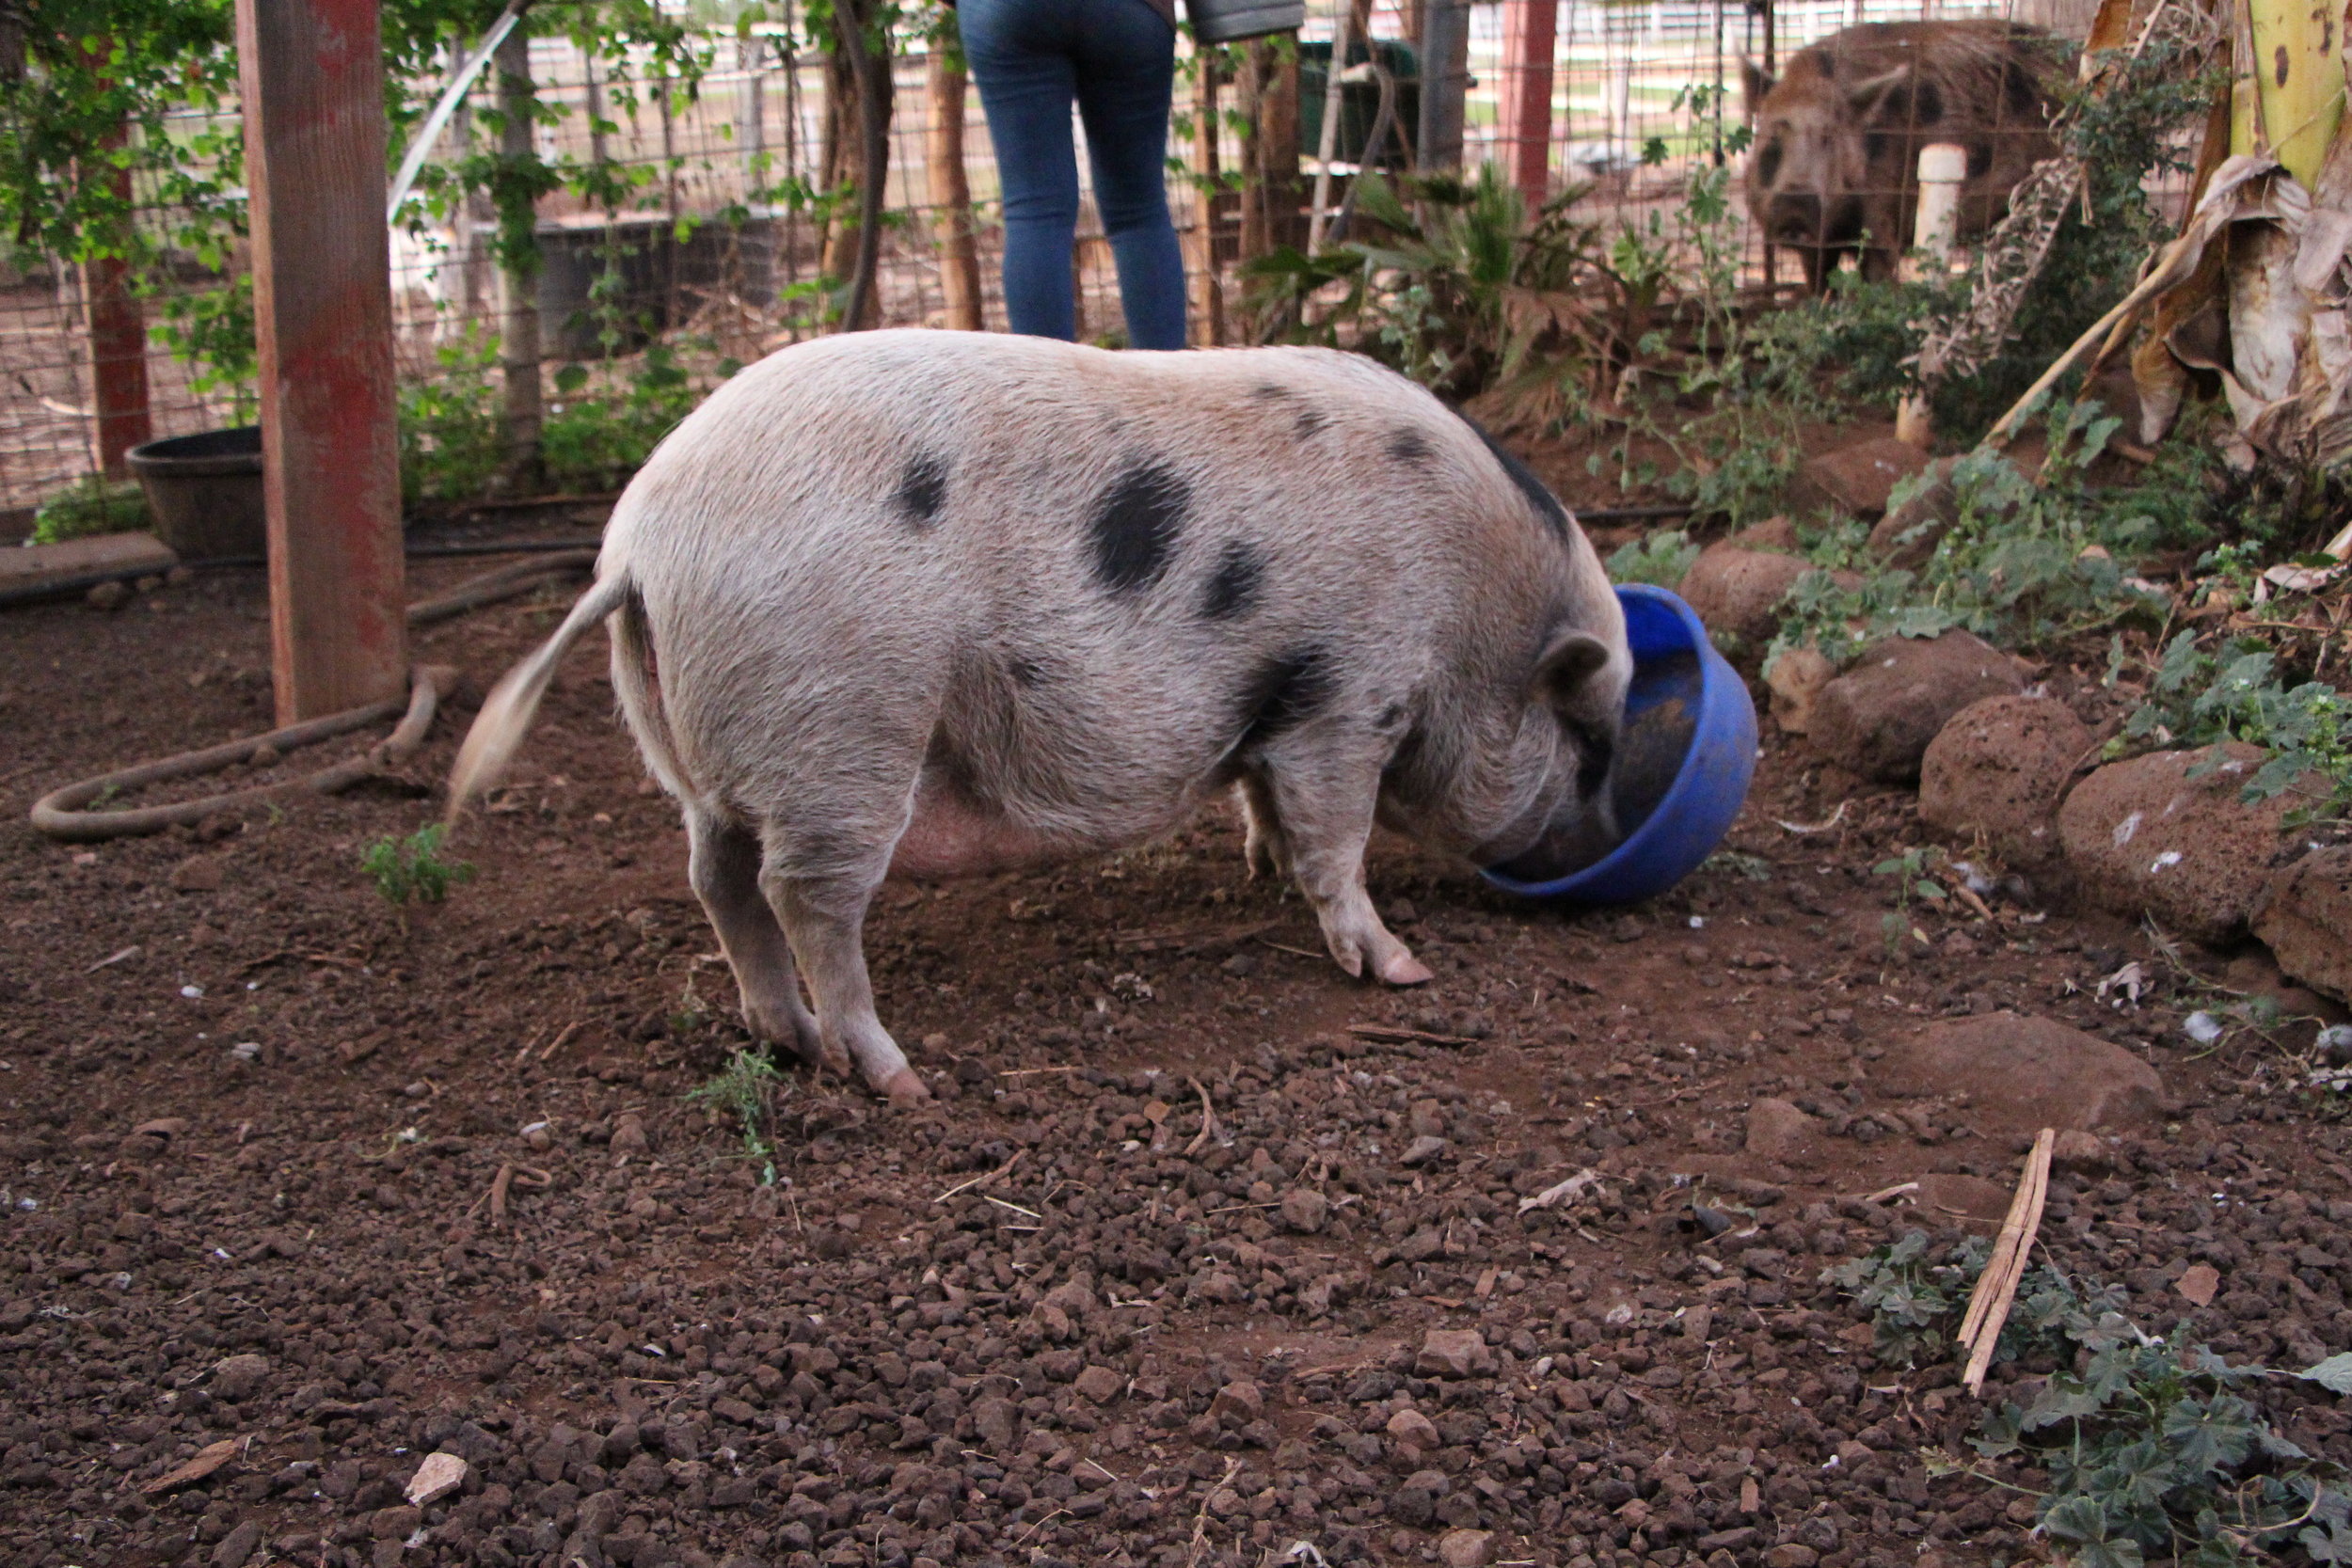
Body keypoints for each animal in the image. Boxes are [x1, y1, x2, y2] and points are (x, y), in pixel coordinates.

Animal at [1740, 23, 2070, 293]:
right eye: (1772, 140)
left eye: (1829, 139)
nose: (1796, 203)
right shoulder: (1817, 245)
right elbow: (1819, 282)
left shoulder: (1881, 210)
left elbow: (1879, 271)